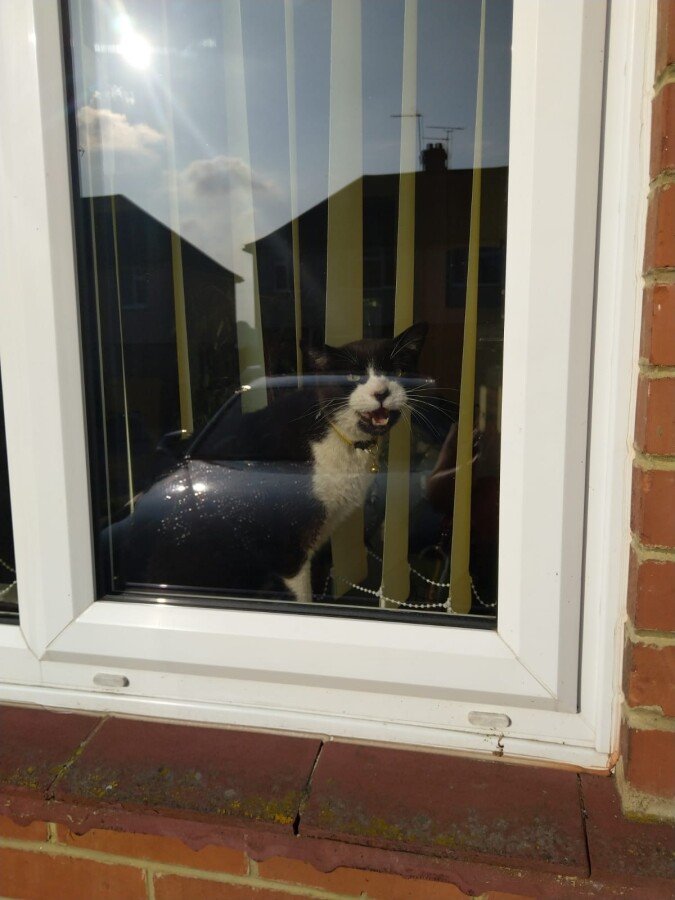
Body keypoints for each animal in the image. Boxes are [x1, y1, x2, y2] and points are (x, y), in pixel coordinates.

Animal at [110, 322, 428, 602]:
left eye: (397, 371)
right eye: (351, 377)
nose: (381, 392)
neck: (340, 437)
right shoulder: (286, 546)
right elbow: (302, 597)